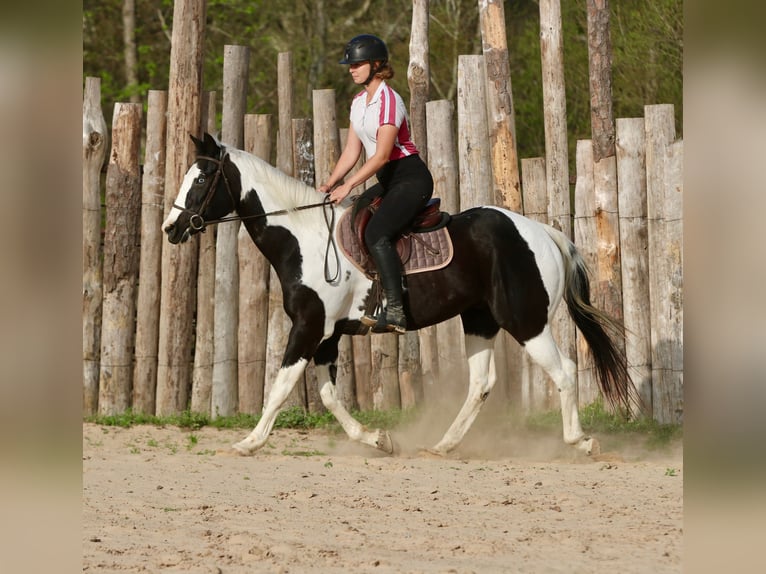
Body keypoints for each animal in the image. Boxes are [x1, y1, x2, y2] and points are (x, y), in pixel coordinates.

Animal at [163, 132, 638, 457]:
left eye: (202, 177)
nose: (171, 228)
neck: (303, 239)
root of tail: (542, 231)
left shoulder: (308, 327)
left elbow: (281, 387)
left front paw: (249, 442)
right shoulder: (327, 334)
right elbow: (329, 395)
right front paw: (376, 438)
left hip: (527, 322)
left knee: (566, 372)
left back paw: (581, 441)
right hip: (479, 320)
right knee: (481, 383)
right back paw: (444, 445)